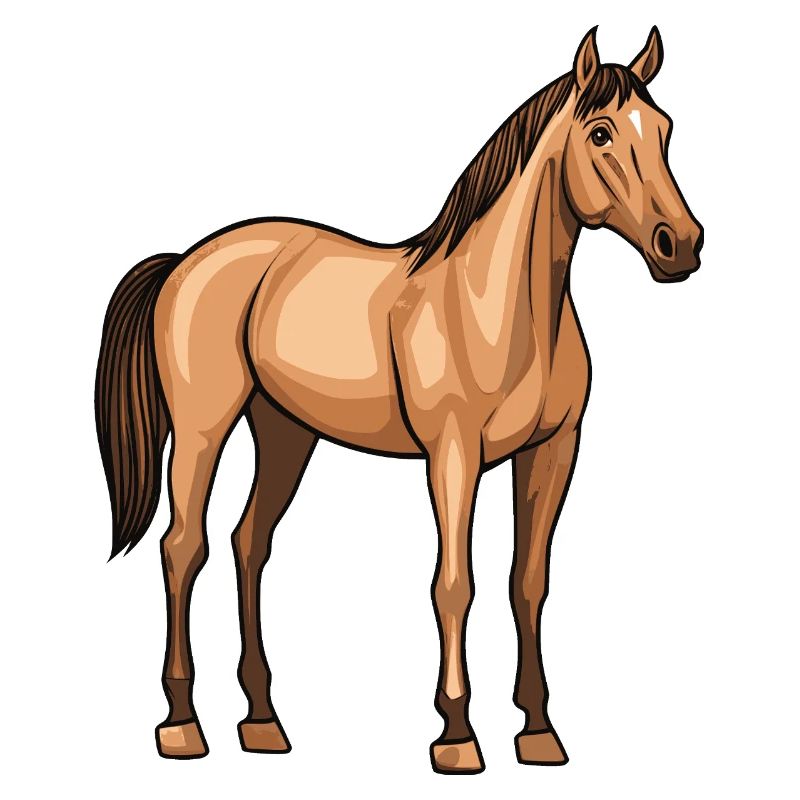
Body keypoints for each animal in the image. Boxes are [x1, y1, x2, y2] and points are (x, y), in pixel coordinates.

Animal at [95, 26, 702, 773]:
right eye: (600, 132)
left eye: (664, 129)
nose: (681, 245)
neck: (500, 307)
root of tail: (186, 260)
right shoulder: (453, 456)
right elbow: (455, 583)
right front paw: (456, 734)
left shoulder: (553, 451)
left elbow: (528, 582)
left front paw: (538, 731)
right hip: (203, 428)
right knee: (184, 547)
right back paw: (182, 725)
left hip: (285, 432)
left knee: (249, 544)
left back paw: (263, 721)